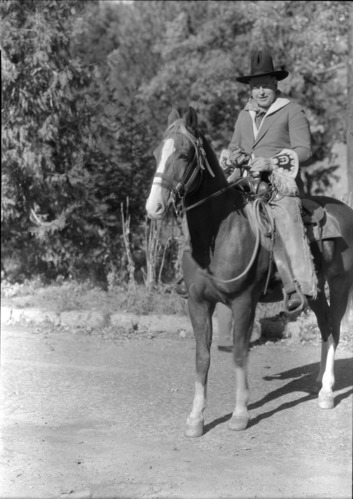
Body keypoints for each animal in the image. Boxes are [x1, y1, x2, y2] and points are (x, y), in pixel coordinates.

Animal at [144, 106, 352, 438]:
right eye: (156, 153)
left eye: (185, 154)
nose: (154, 207)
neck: (219, 234)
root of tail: (343, 210)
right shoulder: (198, 304)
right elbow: (202, 357)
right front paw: (195, 418)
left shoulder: (243, 303)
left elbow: (240, 354)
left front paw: (240, 414)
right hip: (314, 288)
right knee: (324, 328)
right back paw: (319, 383)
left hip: (341, 283)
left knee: (333, 328)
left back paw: (327, 393)